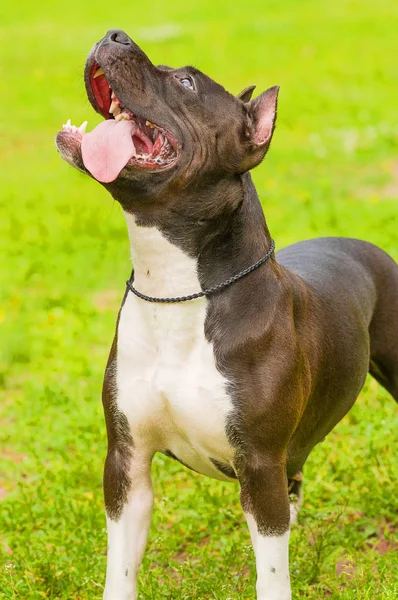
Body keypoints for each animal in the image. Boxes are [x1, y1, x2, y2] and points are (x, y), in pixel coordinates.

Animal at [56, 29, 398, 600]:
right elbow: (120, 569)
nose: (113, 33)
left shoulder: (258, 465)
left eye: (187, 83)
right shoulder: (127, 463)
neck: (175, 286)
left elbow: (272, 574)